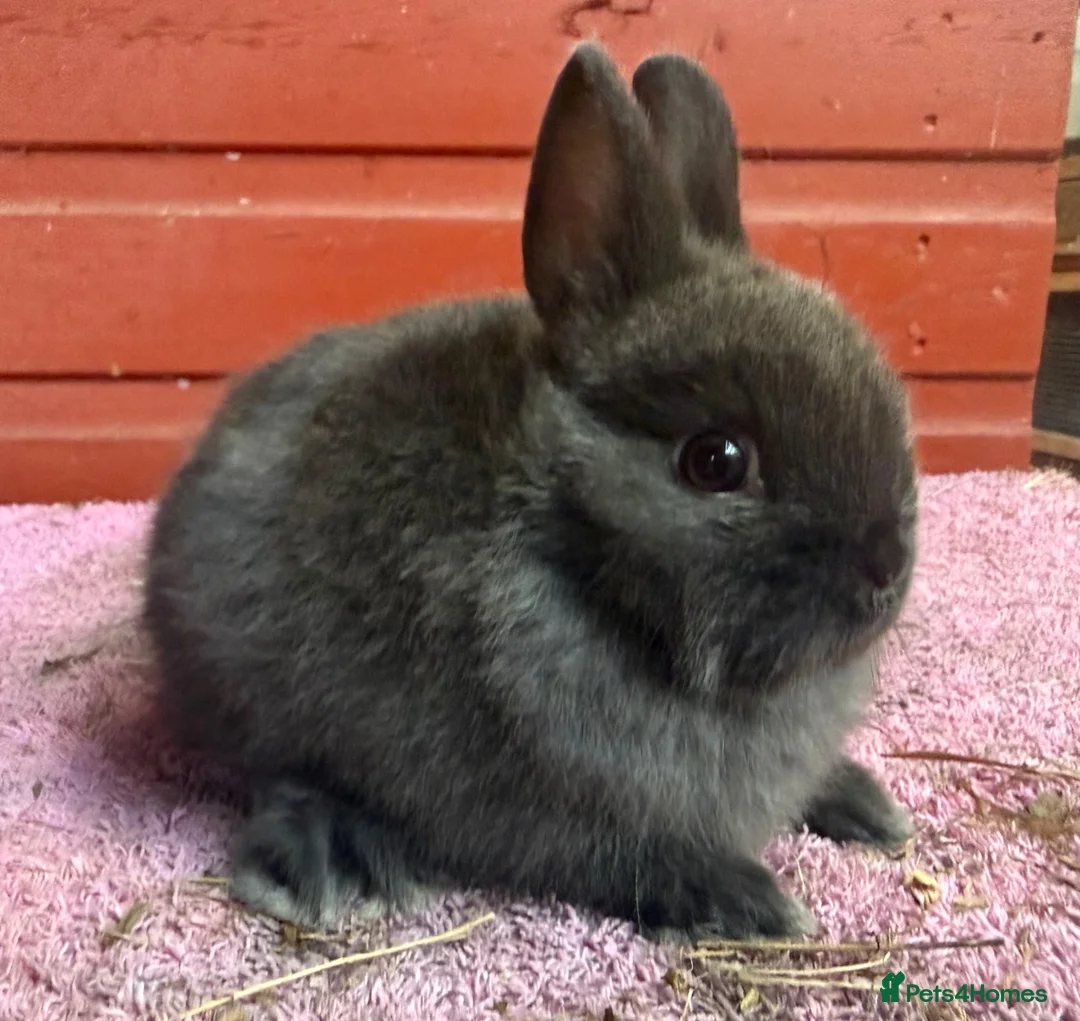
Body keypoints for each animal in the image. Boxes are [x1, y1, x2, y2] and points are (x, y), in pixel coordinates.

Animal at [143, 41, 918, 944]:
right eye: (716, 460)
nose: (884, 570)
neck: (582, 568)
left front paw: (851, 801)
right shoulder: (551, 803)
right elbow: (625, 855)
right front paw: (748, 898)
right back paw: (332, 857)